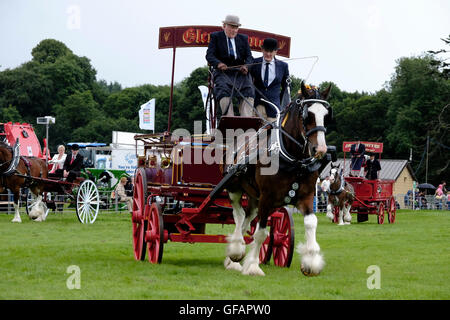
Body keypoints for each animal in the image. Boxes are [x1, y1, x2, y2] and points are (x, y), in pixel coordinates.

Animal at [223, 82, 332, 276]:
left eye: (326, 115)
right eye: (307, 115)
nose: (320, 149)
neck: (292, 159)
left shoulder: (306, 196)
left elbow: (311, 223)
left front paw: (311, 261)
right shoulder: (267, 198)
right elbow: (261, 233)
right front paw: (253, 266)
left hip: (254, 196)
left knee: (246, 218)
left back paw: (232, 260)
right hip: (234, 187)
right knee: (239, 215)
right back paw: (236, 250)